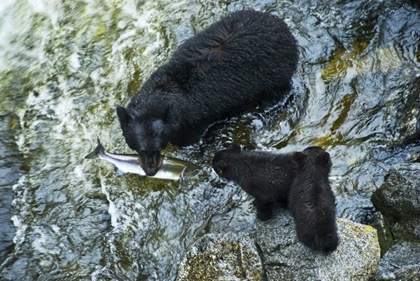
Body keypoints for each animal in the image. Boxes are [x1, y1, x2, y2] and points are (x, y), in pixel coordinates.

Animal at [116, 10, 296, 175]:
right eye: (139, 148)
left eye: (159, 146)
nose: (150, 171)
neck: (164, 90)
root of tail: (281, 25)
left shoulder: (192, 124)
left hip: (276, 77)